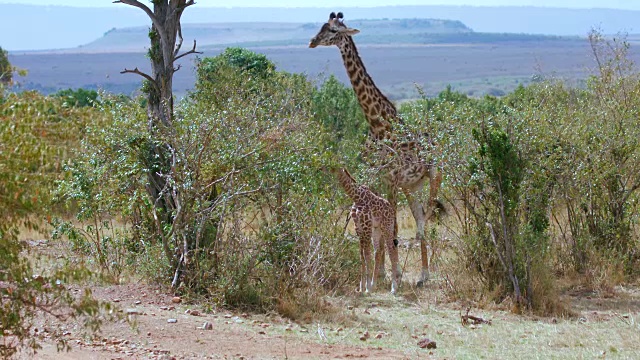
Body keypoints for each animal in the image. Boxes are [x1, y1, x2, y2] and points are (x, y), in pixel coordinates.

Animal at [308, 11, 440, 286]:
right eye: (322, 26)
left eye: (334, 31)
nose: (312, 41)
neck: (377, 123)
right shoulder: (378, 178)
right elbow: (381, 225)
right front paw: (380, 274)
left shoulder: (392, 179)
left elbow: (394, 227)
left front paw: (392, 274)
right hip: (411, 187)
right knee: (420, 217)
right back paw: (422, 275)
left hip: (434, 177)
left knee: (426, 219)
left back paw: (424, 274)